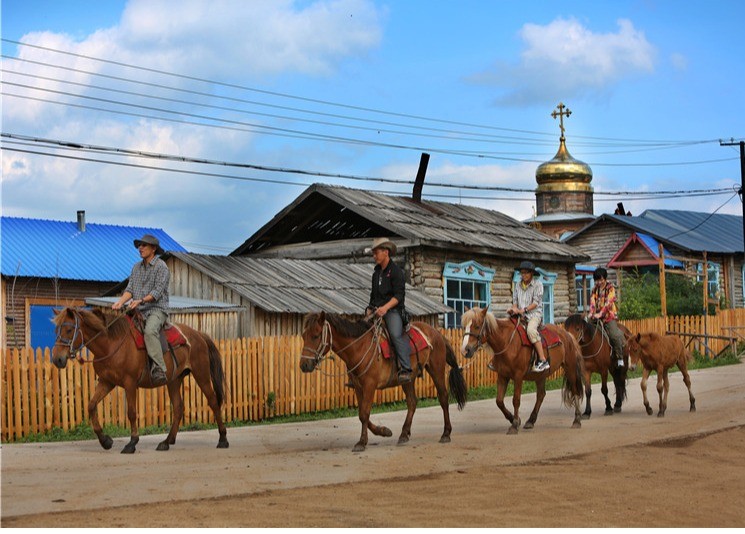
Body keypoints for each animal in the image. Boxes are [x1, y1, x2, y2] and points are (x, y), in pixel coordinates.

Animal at [50, 308, 228, 454]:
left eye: (69, 329)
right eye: (56, 330)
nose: (57, 359)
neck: (111, 344)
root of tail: (198, 335)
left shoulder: (130, 384)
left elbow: (131, 412)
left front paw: (132, 443)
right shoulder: (106, 382)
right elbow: (91, 405)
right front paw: (105, 441)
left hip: (201, 374)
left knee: (213, 402)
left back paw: (223, 439)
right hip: (173, 380)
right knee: (178, 408)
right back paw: (166, 441)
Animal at [296, 312, 464, 454]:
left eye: (316, 336)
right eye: (304, 336)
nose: (304, 365)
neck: (359, 348)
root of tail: (436, 333)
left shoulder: (370, 386)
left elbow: (364, 414)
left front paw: (361, 442)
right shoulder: (358, 387)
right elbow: (362, 414)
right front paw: (384, 431)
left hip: (436, 369)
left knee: (443, 398)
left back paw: (446, 433)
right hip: (408, 379)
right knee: (412, 402)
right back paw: (404, 434)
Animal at [456, 310, 584, 436]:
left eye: (477, 326)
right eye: (464, 326)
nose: (465, 350)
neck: (507, 341)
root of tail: (567, 335)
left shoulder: (518, 376)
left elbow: (516, 400)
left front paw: (514, 425)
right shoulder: (502, 376)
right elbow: (499, 401)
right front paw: (513, 419)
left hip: (570, 368)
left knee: (575, 391)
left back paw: (577, 420)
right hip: (540, 376)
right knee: (541, 395)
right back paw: (530, 421)